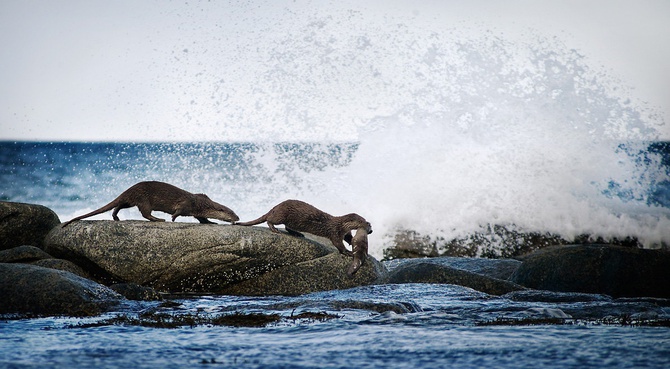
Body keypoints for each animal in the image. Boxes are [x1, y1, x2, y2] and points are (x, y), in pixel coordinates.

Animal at [61, 180, 239, 226]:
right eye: (232, 213)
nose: (237, 218)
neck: (201, 203)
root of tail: (129, 189)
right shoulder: (187, 204)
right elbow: (178, 211)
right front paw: (173, 218)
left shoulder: (196, 211)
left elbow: (202, 219)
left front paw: (211, 222)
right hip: (143, 199)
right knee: (145, 213)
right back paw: (159, 219)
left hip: (131, 201)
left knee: (120, 205)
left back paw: (116, 217)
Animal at [236, 198, 372, 256]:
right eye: (362, 221)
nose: (370, 229)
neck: (339, 225)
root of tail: (274, 207)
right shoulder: (334, 231)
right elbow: (337, 243)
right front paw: (347, 252)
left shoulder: (344, 231)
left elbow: (348, 237)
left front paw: (351, 242)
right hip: (281, 215)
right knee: (270, 220)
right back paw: (274, 229)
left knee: (287, 227)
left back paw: (297, 233)